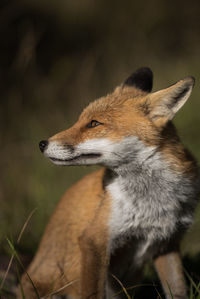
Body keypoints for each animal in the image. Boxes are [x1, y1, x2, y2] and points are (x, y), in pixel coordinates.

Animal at [16, 68, 199, 299]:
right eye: (80, 120)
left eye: (94, 123)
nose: (42, 144)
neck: (152, 203)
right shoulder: (94, 239)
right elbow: (92, 292)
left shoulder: (167, 243)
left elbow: (177, 290)